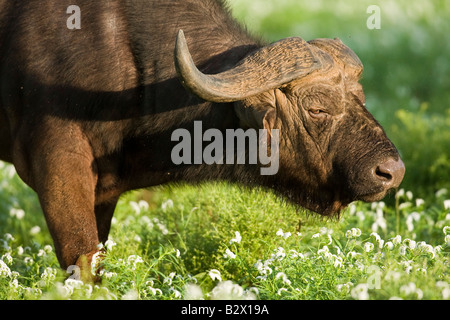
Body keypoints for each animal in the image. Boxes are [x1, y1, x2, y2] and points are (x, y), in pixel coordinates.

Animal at [0, 0, 404, 276]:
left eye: (360, 98)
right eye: (317, 108)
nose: (392, 171)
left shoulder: (103, 193)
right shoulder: (59, 170)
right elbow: (83, 262)